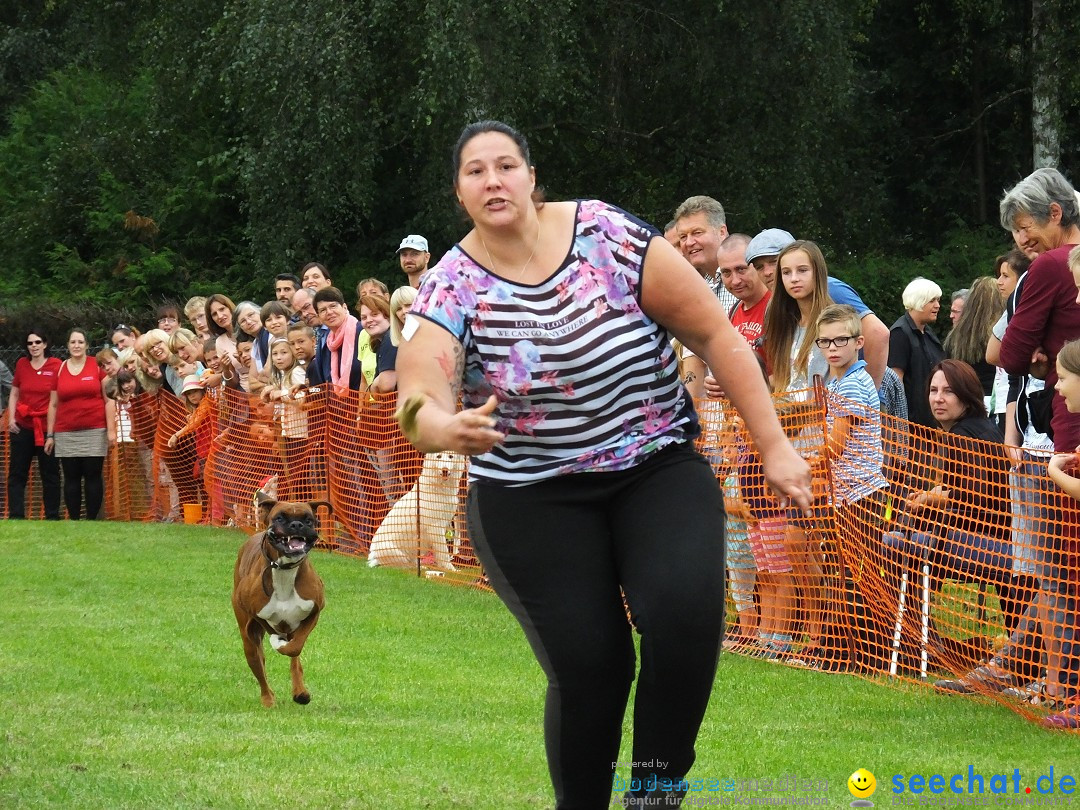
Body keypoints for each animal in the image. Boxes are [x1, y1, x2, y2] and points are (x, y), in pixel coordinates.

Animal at [227, 492, 328, 708]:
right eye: (280, 518)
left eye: (308, 519)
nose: (297, 524)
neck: (284, 570)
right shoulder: (256, 617)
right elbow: (273, 638)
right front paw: (276, 640)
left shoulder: (314, 612)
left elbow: (294, 648)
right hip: (247, 640)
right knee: (259, 666)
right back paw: (268, 699)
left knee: (295, 659)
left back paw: (300, 692)